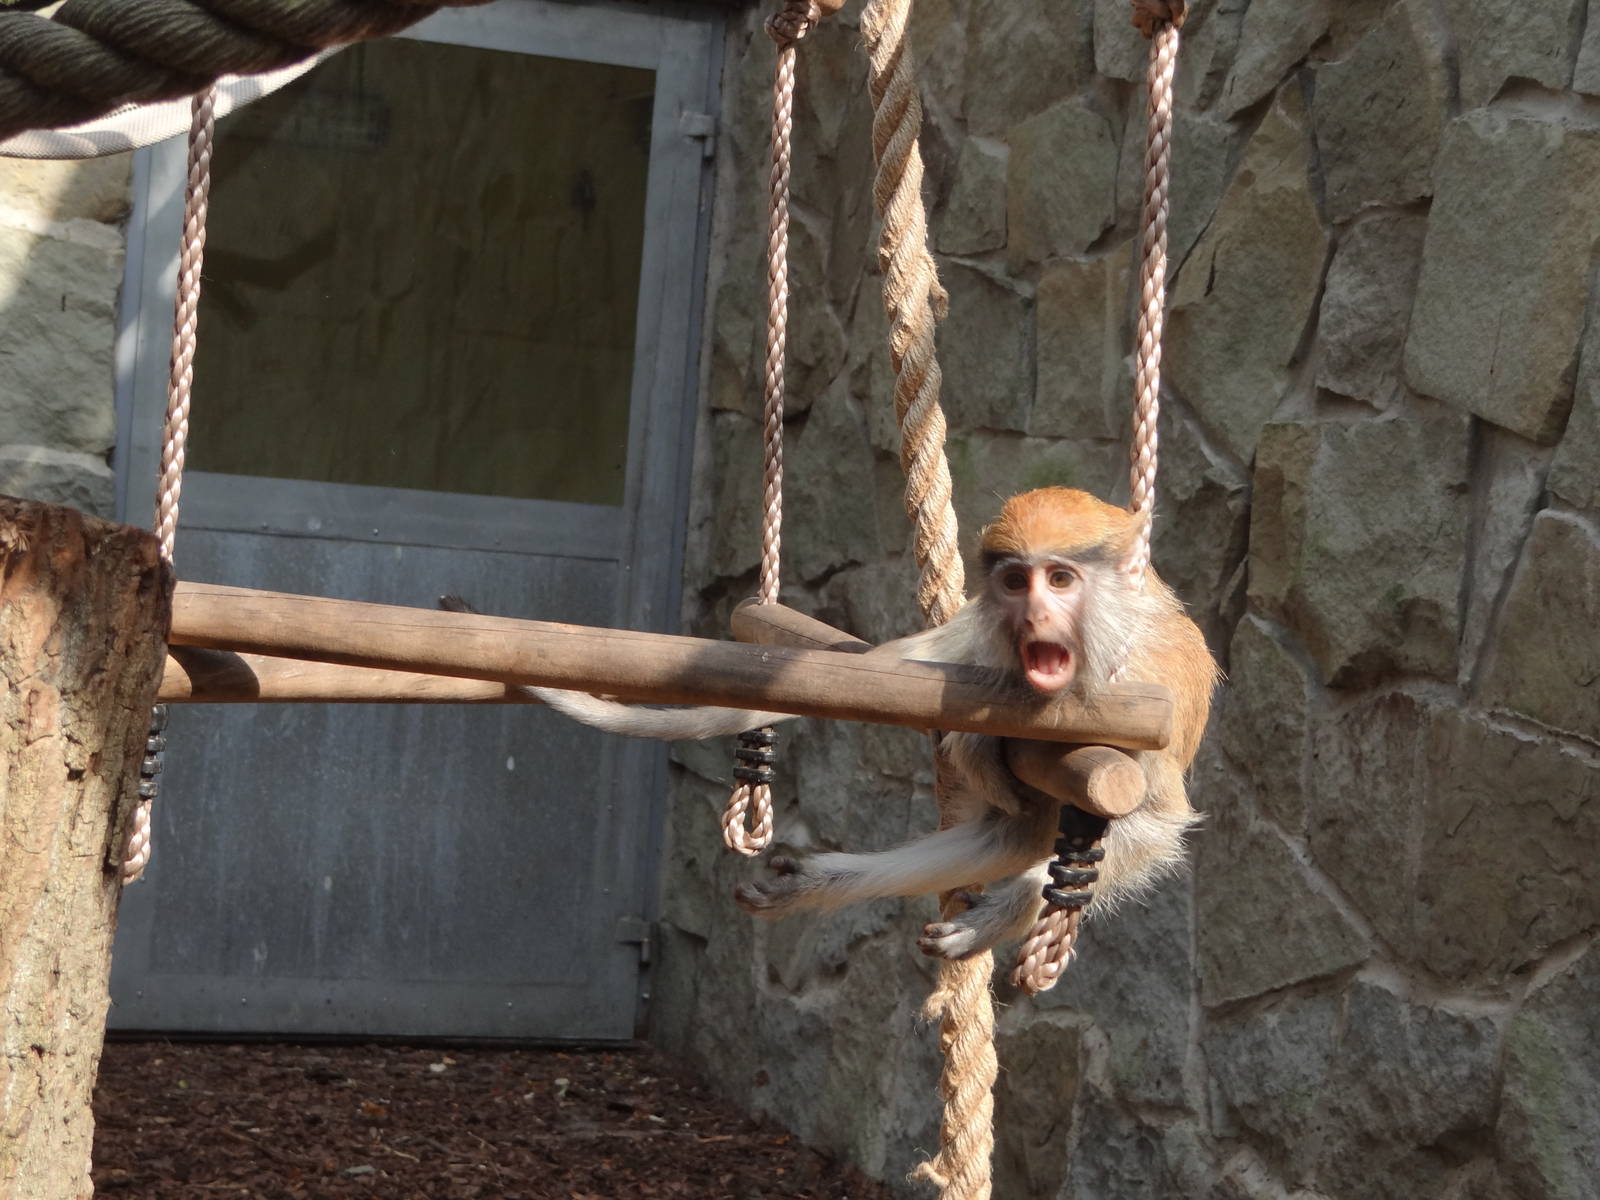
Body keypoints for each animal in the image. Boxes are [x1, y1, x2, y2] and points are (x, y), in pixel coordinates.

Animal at [523, 488, 1219, 959]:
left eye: (1061, 579)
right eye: (1017, 581)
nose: (1034, 615)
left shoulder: (1140, 687)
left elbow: (1151, 824)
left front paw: (1002, 914)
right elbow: (1009, 831)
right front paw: (819, 882)